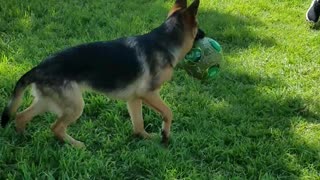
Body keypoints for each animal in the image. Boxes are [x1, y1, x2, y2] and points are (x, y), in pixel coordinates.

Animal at [0, 0, 202, 148]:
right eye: (199, 28)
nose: (205, 35)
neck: (165, 40)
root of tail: (38, 67)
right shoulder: (148, 94)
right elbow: (168, 112)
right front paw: (165, 134)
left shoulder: (134, 99)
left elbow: (138, 125)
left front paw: (145, 137)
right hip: (75, 106)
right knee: (55, 127)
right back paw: (76, 145)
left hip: (48, 102)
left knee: (20, 117)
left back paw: (23, 140)